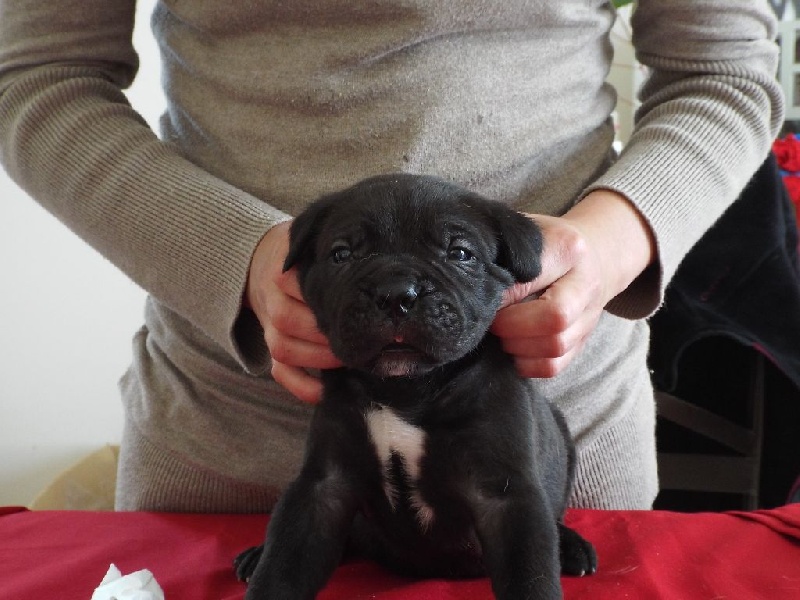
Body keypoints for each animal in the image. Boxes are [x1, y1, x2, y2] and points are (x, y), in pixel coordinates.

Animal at [234, 173, 596, 600]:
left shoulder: (506, 495)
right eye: (341, 255)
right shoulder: (324, 487)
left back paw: (571, 547)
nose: (395, 293)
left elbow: (531, 574)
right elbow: (285, 560)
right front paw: (266, 568)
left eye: (460, 253)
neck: (405, 388)